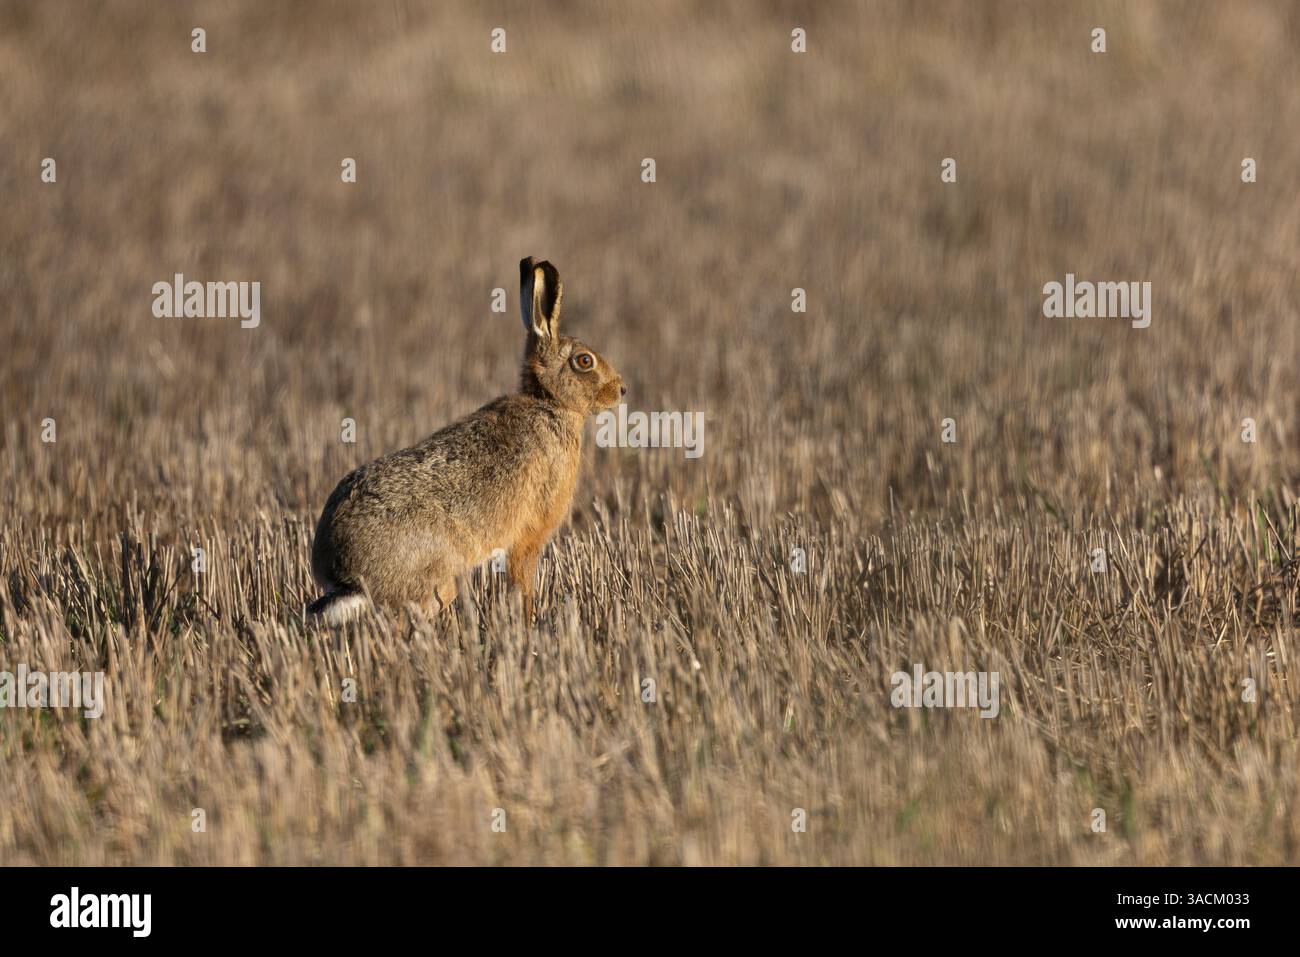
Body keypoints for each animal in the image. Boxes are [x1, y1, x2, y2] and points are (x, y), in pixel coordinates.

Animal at [307, 258, 626, 624]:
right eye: (584, 361)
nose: (621, 389)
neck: (549, 402)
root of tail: (342, 573)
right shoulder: (529, 536)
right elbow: (522, 585)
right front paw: (529, 624)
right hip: (437, 580)